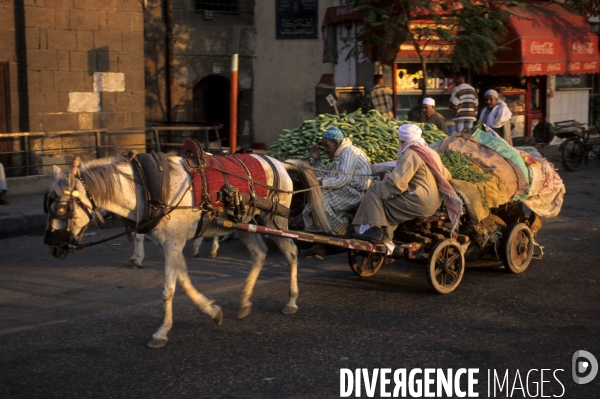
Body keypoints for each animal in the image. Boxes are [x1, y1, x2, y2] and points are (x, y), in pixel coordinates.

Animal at [45, 152, 328, 348]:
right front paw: (211, 311)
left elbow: (169, 289)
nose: (53, 246)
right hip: (247, 222)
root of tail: (279, 162)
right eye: (48, 205)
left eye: (63, 208)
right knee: (259, 254)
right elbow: (183, 281)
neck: (147, 188)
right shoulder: (172, 243)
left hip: (274, 219)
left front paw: (161, 332)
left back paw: (291, 300)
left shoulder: (173, 243)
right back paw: (245, 301)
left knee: (291, 254)